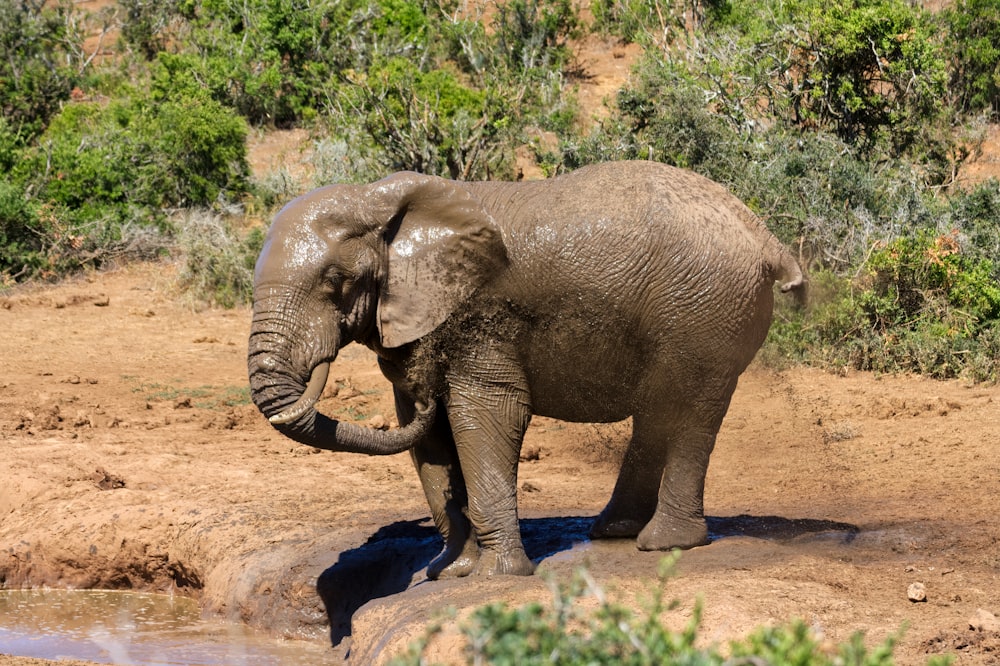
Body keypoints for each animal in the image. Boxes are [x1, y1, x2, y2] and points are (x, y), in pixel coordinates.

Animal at [250, 160, 804, 576]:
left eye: (336, 282)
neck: (379, 201)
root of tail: (766, 237)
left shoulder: (480, 315)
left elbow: (488, 415)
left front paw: (496, 576)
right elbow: (429, 440)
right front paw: (451, 570)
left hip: (706, 311)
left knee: (686, 415)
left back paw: (665, 544)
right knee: (658, 415)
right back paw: (615, 532)